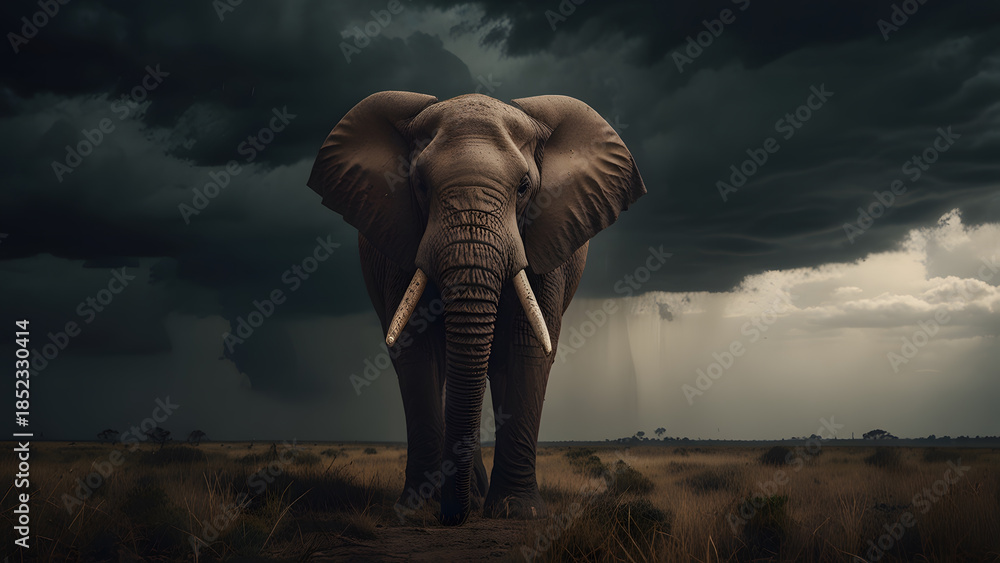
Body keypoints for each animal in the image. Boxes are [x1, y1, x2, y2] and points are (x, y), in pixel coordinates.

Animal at [307, 91, 645, 526]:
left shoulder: (545, 242)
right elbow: (418, 353)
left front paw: (518, 512)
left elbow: (525, 349)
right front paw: (417, 509)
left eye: (524, 188)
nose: (454, 517)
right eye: (419, 185)